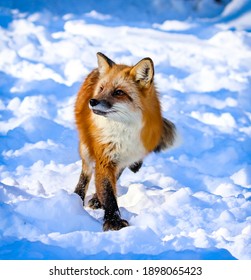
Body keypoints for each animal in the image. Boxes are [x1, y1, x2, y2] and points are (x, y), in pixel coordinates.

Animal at [74, 53, 176, 232]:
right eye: (101, 89)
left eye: (118, 92)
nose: (92, 101)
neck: (124, 130)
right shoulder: (105, 157)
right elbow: (108, 192)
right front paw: (113, 221)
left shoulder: (125, 155)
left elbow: (108, 186)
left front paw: (106, 211)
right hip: (86, 149)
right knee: (86, 173)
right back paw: (77, 197)